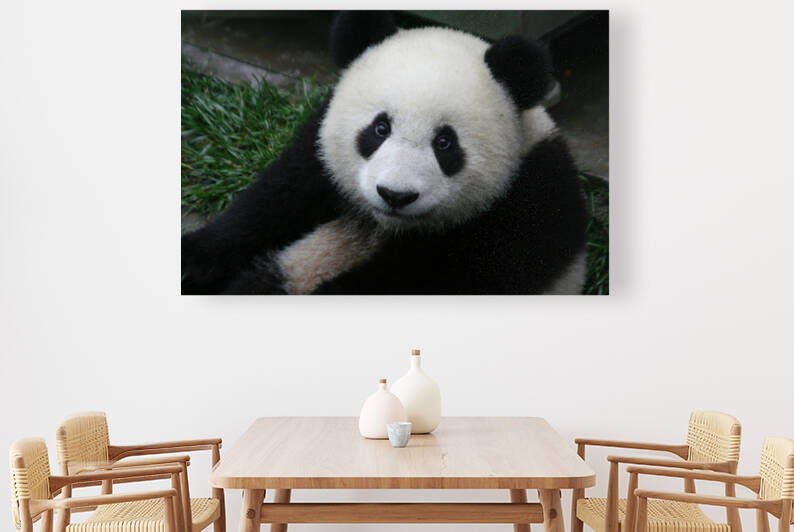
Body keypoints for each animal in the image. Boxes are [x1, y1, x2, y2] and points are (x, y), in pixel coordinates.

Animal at [181, 12, 587, 295]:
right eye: (380, 129)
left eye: (445, 143)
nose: (395, 195)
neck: (387, 225)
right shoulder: (318, 155)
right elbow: (271, 203)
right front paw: (191, 261)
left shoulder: (521, 210)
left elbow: (424, 278)